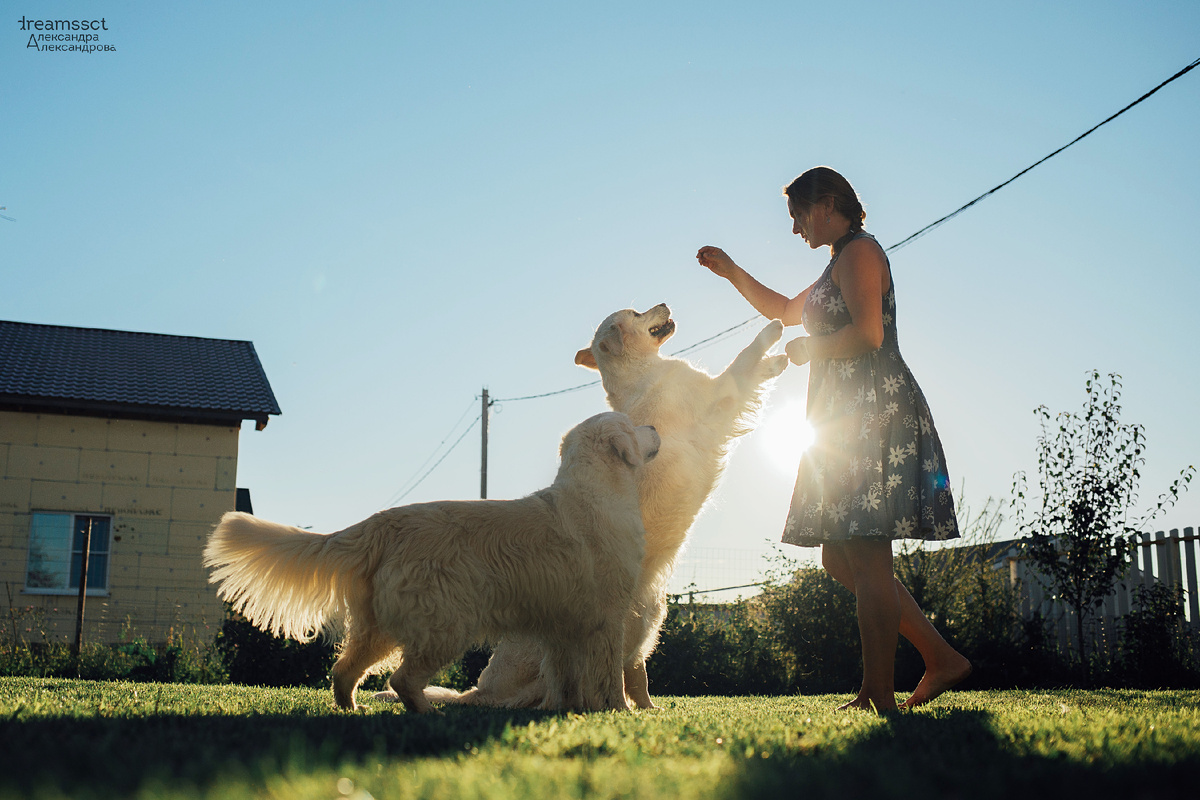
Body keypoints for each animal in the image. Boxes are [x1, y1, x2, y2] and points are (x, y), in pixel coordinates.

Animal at [202, 412, 662, 714]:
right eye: (633, 425)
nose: (656, 427)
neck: (597, 492)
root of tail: (383, 522)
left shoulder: (563, 626)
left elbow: (566, 679)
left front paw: (568, 711)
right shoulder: (608, 617)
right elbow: (612, 674)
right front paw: (621, 711)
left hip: (380, 629)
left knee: (343, 670)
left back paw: (352, 711)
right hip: (444, 624)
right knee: (401, 679)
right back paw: (427, 714)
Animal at [429, 303, 787, 710]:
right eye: (636, 312)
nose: (664, 303)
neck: (642, 374)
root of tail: (480, 690)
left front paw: (777, 361)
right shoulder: (718, 393)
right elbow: (744, 358)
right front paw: (774, 332)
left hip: (648, 616)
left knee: (631, 669)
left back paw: (647, 707)